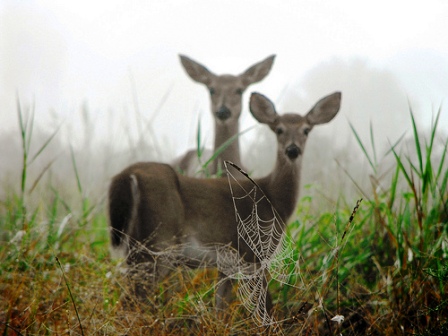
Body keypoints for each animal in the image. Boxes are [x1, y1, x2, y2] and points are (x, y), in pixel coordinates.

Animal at [108, 90, 340, 316]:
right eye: (279, 129)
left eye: (306, 130)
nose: (293, 150)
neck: (274, 199)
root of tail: (127, 175)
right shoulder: (254, 253)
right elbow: (265, 309)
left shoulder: (227, 264)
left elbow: (220, 307)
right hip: (159, 242)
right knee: (131, 301)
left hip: (136, 244)